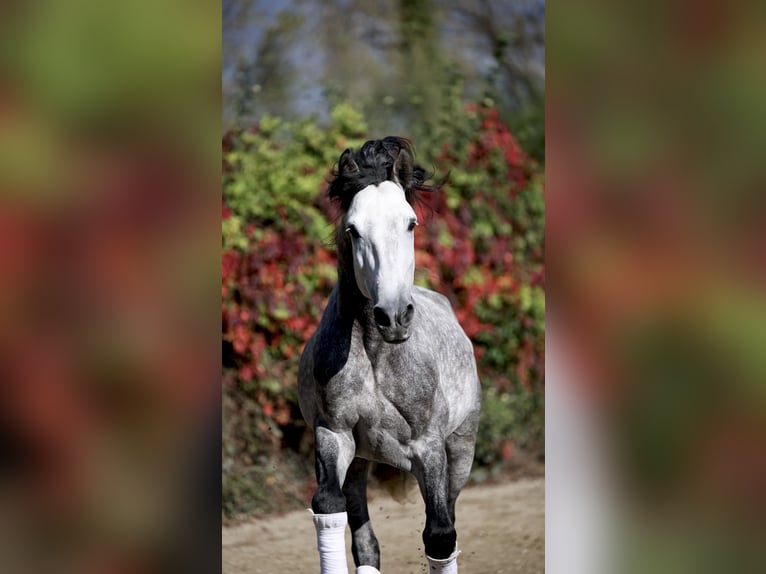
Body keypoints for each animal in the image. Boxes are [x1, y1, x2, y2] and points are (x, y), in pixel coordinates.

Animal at [298, 137, 480, 572]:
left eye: (411, 223)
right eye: (353, 229)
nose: (394, 316)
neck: (377, 354)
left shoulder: (429, 448)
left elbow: (440, 536)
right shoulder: (333, 435)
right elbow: (328, 507)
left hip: (461, 450)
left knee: (448, 522)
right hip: (360, 462)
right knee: (365, 541)